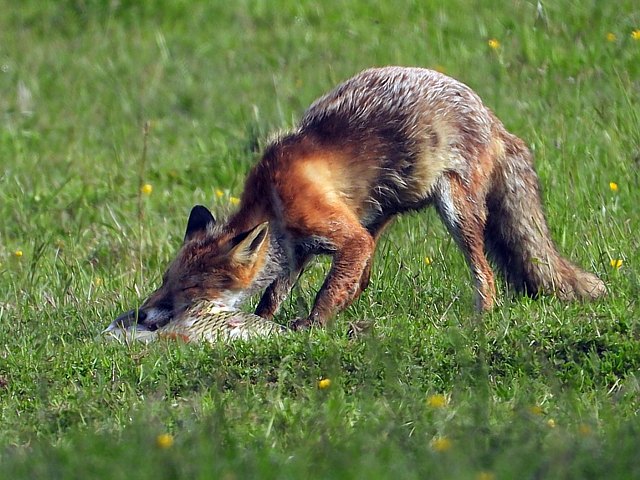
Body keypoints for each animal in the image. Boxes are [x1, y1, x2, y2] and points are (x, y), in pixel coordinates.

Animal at [112, 65, 608, 332]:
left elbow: (327, 289)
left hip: (451, 208)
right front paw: (269, 320)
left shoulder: (344, 236)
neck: (273, 199)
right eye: (166, 280)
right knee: (365, 277)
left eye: (190, 290)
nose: (140, 313)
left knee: (484, 273)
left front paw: (313, 326)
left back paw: (480, 317)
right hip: (376, 211)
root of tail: (494, 119)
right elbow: (273, 293)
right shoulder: (295, 251)